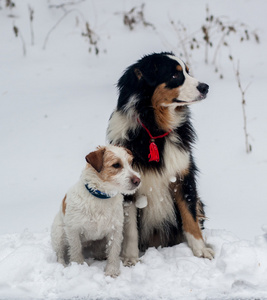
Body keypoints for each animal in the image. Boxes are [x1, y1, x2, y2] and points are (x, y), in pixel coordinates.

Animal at [51, 145, 141, 276]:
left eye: (130, 163)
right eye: (116, 165)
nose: (138, 180)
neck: (101, 197)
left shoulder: (115, 230)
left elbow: (113, 252)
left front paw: (112, 272)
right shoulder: (73, 229)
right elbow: (75, 250)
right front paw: (78, 266)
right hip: (59, 235)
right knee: (59, 253)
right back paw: (61, 265)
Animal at [108, 52, 215, 264]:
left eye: (187, 71)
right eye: (175, 76)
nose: (205, 87)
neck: (154, 129)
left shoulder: (183, 176)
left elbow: (190, 218)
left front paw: (201, 250)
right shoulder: (129, 187)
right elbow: (131, 228)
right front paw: (130, 259)